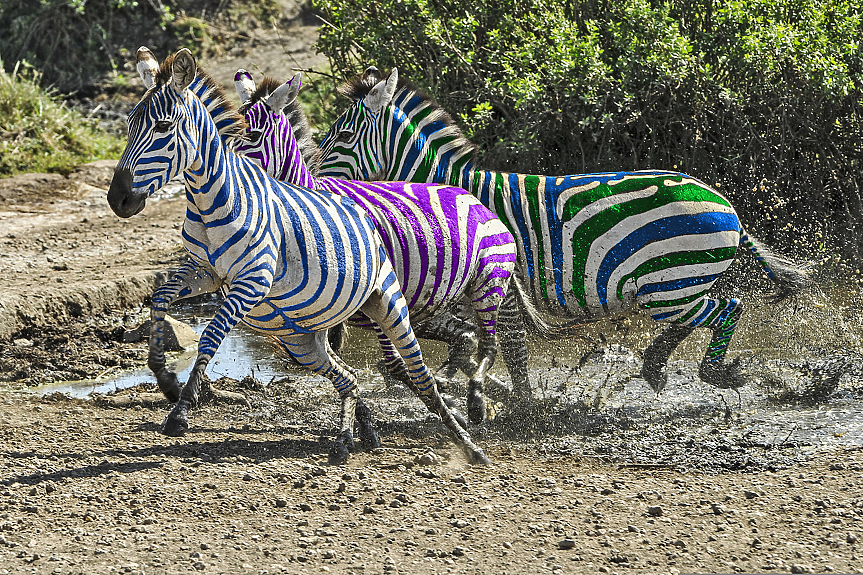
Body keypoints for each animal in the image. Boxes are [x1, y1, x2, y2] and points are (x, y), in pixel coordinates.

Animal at [104, 47, 490, 466]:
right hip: (304, 340)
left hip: (390, 304)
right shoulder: (204, 272)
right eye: (129, 125)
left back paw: (469, 441)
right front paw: (165, 379)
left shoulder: (252, 282)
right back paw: (353, 438)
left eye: (162, 127)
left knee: (422, 372)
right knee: (353, 374)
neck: (210, 201)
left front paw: (181, 409)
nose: (118, 199)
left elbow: (210, 337)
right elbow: (159, 299)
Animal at [316, 66, 808, 396]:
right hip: (673, 288)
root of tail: (727, 206)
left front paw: (522, 406)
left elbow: (511, 346)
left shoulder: (497, 285)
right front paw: (479, 381)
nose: (312, 181)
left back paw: (711, 372)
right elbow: (466, 337)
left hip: (672, 286)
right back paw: (655, 366)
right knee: (714, 310)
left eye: (342, 137)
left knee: (728, 308)